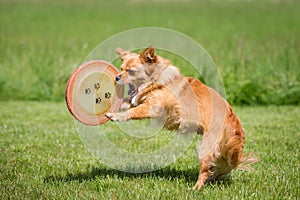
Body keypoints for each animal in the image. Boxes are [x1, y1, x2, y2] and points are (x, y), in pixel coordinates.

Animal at [106, 46, 258, 190]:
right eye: (121, 69)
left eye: (131, 72)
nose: (117, 77)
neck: (155, 80)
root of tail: (234, 123)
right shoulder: (138, 101)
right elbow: (126, 103)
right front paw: (112, 108)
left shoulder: (152, 108)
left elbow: (132, 112)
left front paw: (115, 116)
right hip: (221, 155)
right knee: (216, 170)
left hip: (205, 148)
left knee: (205, 171)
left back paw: (195, 188)